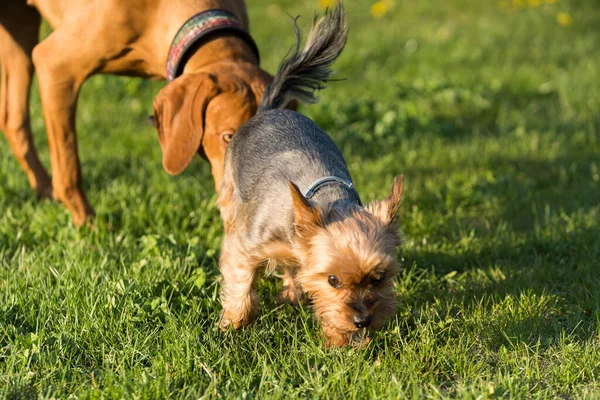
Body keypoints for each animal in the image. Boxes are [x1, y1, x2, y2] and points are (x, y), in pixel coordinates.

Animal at [216, 3, 404, 346]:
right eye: (333, 280)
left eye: (379, 277)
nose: (362, 320)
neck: (326, 198)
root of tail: (270, 109)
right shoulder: (246, 244)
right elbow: (240, 282)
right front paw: (233, 325)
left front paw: (340, 338)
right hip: (230, 197)